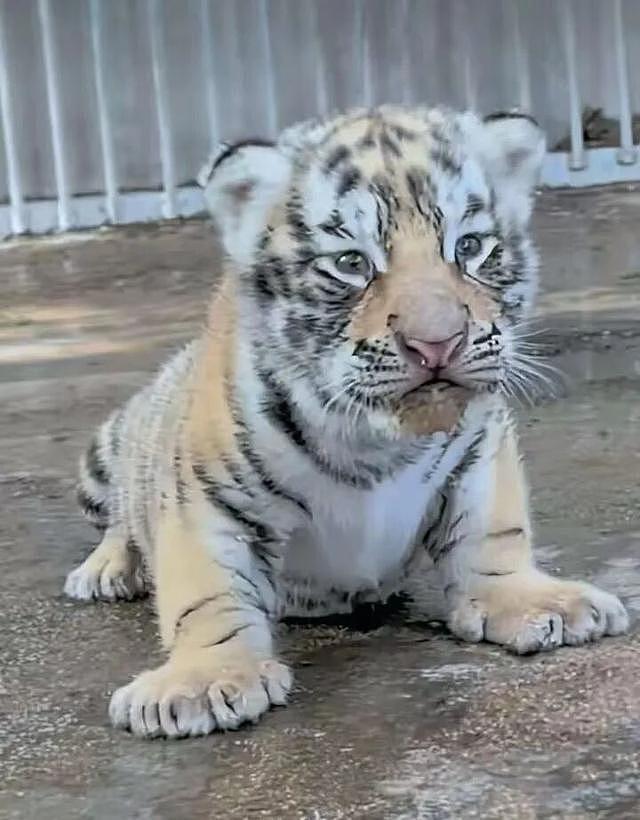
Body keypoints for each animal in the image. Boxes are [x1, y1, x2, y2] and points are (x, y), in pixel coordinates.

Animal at [64, 105, 629, 739]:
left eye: (470, 246)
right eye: (352, 263)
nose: (437, 344)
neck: (375, 440)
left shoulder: (479, 445)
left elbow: (495, 532)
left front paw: (537, 604)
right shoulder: (205, 492)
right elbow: (205, 589)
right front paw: (203, 681)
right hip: (113, 447)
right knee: (120, 519)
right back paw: (105, 571)